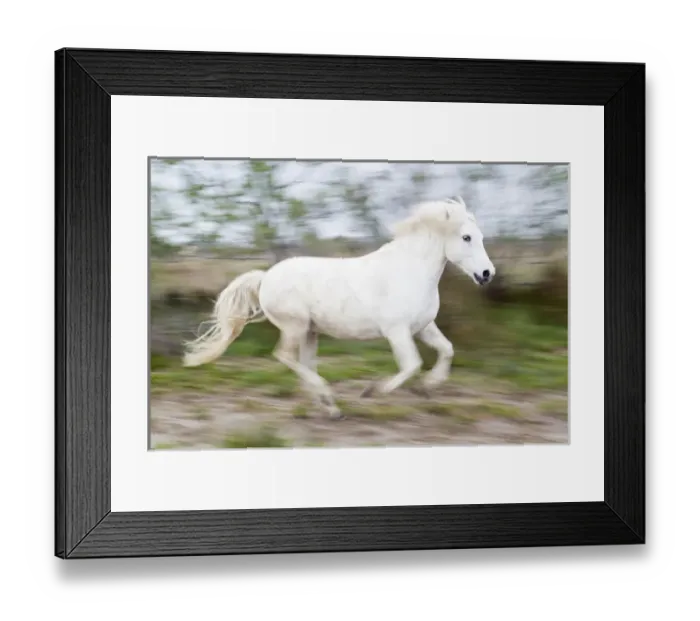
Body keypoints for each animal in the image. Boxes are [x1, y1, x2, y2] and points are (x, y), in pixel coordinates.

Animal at [181, 196, 496, 420]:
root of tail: (265, 277)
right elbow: (411, 365)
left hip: (310, 332)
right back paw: (329, 399)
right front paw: (372, 391)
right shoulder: (397, 331)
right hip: (295, 327)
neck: (409, 271)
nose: (487, 274)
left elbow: (447, 350)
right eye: (466, 237)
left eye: (480, 237)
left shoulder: (423, 327)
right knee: (284, 356)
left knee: (304, 362)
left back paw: (330, 406)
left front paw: (428, 386)